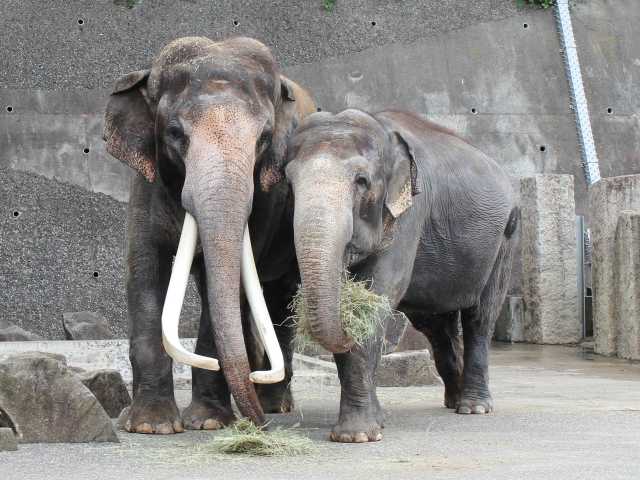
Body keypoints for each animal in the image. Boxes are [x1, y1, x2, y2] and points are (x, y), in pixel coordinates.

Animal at [102, 36, 316, 436]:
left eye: (264, 138)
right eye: (174, 133)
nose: (260, 428)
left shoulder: (264, 198)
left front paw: (208, 422)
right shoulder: (145, 184)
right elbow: (145, 271)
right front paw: (151, 425)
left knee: (278, 298)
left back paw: (273, 405)